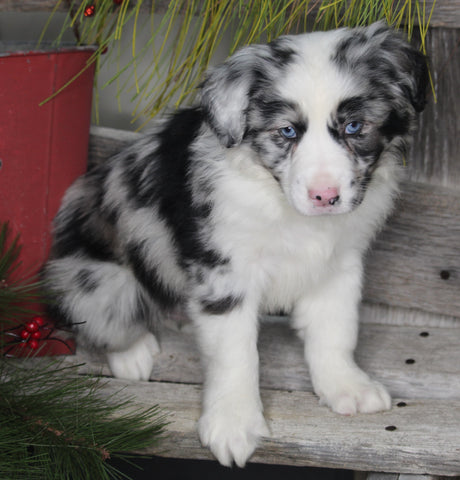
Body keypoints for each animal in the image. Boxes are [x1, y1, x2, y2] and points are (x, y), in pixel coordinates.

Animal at [43, 21, 428, 464]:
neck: (279, 202)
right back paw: (133, 354)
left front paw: (347, 387)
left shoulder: (339, 264)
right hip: (98, 280)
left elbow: (336, 330)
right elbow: (235, 355)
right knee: (101, 316)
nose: (325, 196)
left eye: (354, 127)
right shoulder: (224, 273)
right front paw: (233, 425)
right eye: (287, 131)